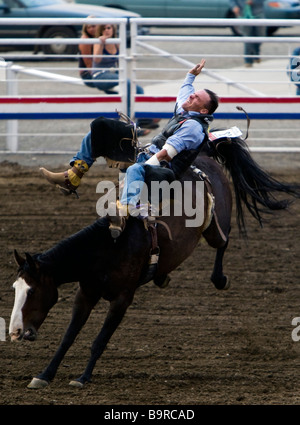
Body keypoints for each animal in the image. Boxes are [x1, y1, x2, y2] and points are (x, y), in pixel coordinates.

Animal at [8, 132, 298, 388]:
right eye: (15, 289)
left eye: (31, 291)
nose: (15, 333)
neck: (108, 248)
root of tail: (204, 157)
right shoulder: (85, 293)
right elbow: (68, 337)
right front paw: (44, 375)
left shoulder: (122, 299)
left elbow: (99, 341)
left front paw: (83, 377)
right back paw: (163, 276)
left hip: (216, 227)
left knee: (223, 242)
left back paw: (220, 278)